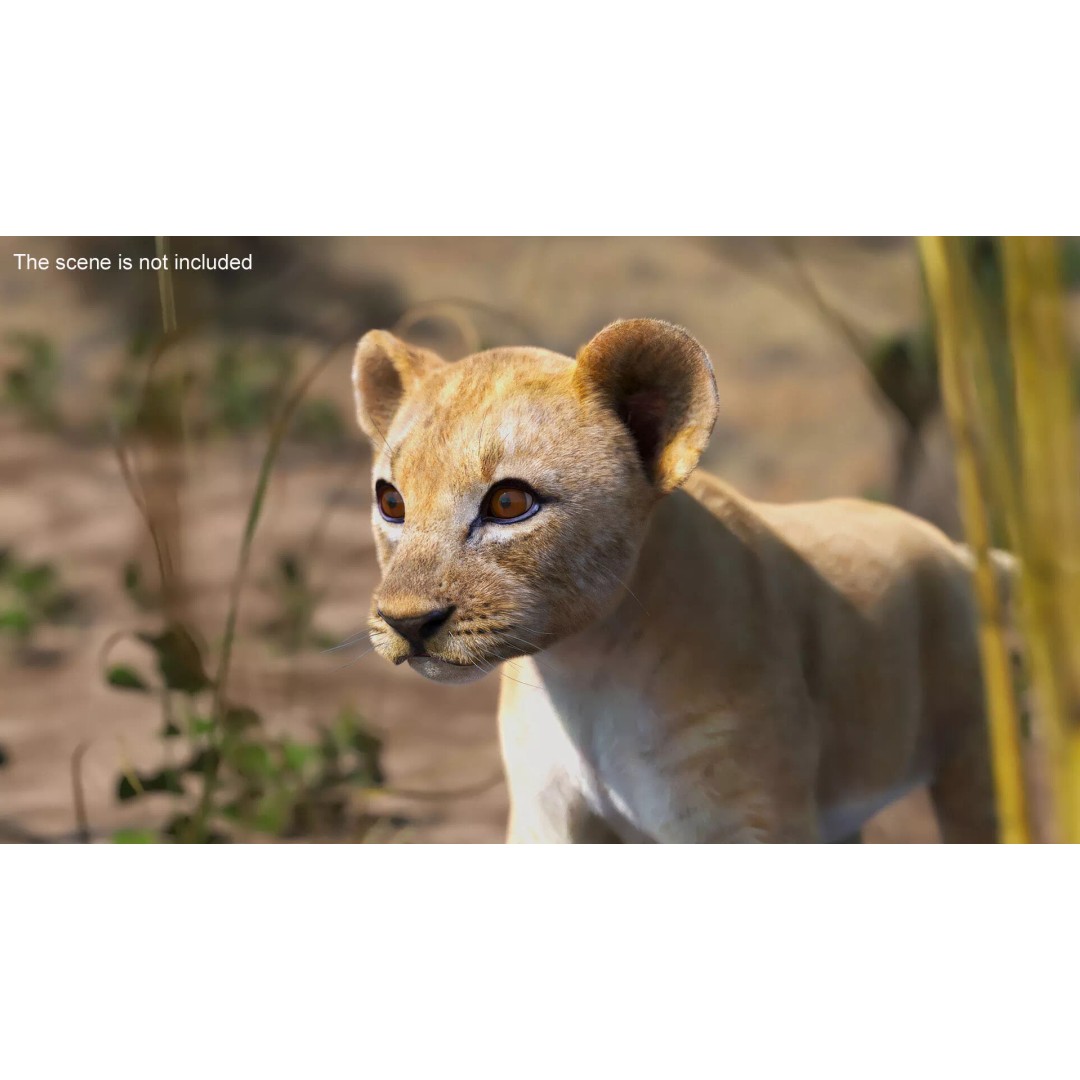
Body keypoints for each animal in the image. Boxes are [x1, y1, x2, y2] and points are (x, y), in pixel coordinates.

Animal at [351, 318, 999, 843]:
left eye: (509, 503)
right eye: (391, 502)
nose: (407, 623)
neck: (583, 672)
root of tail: (947, 543)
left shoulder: (745, 821)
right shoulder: (545, 816)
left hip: (974, 756)